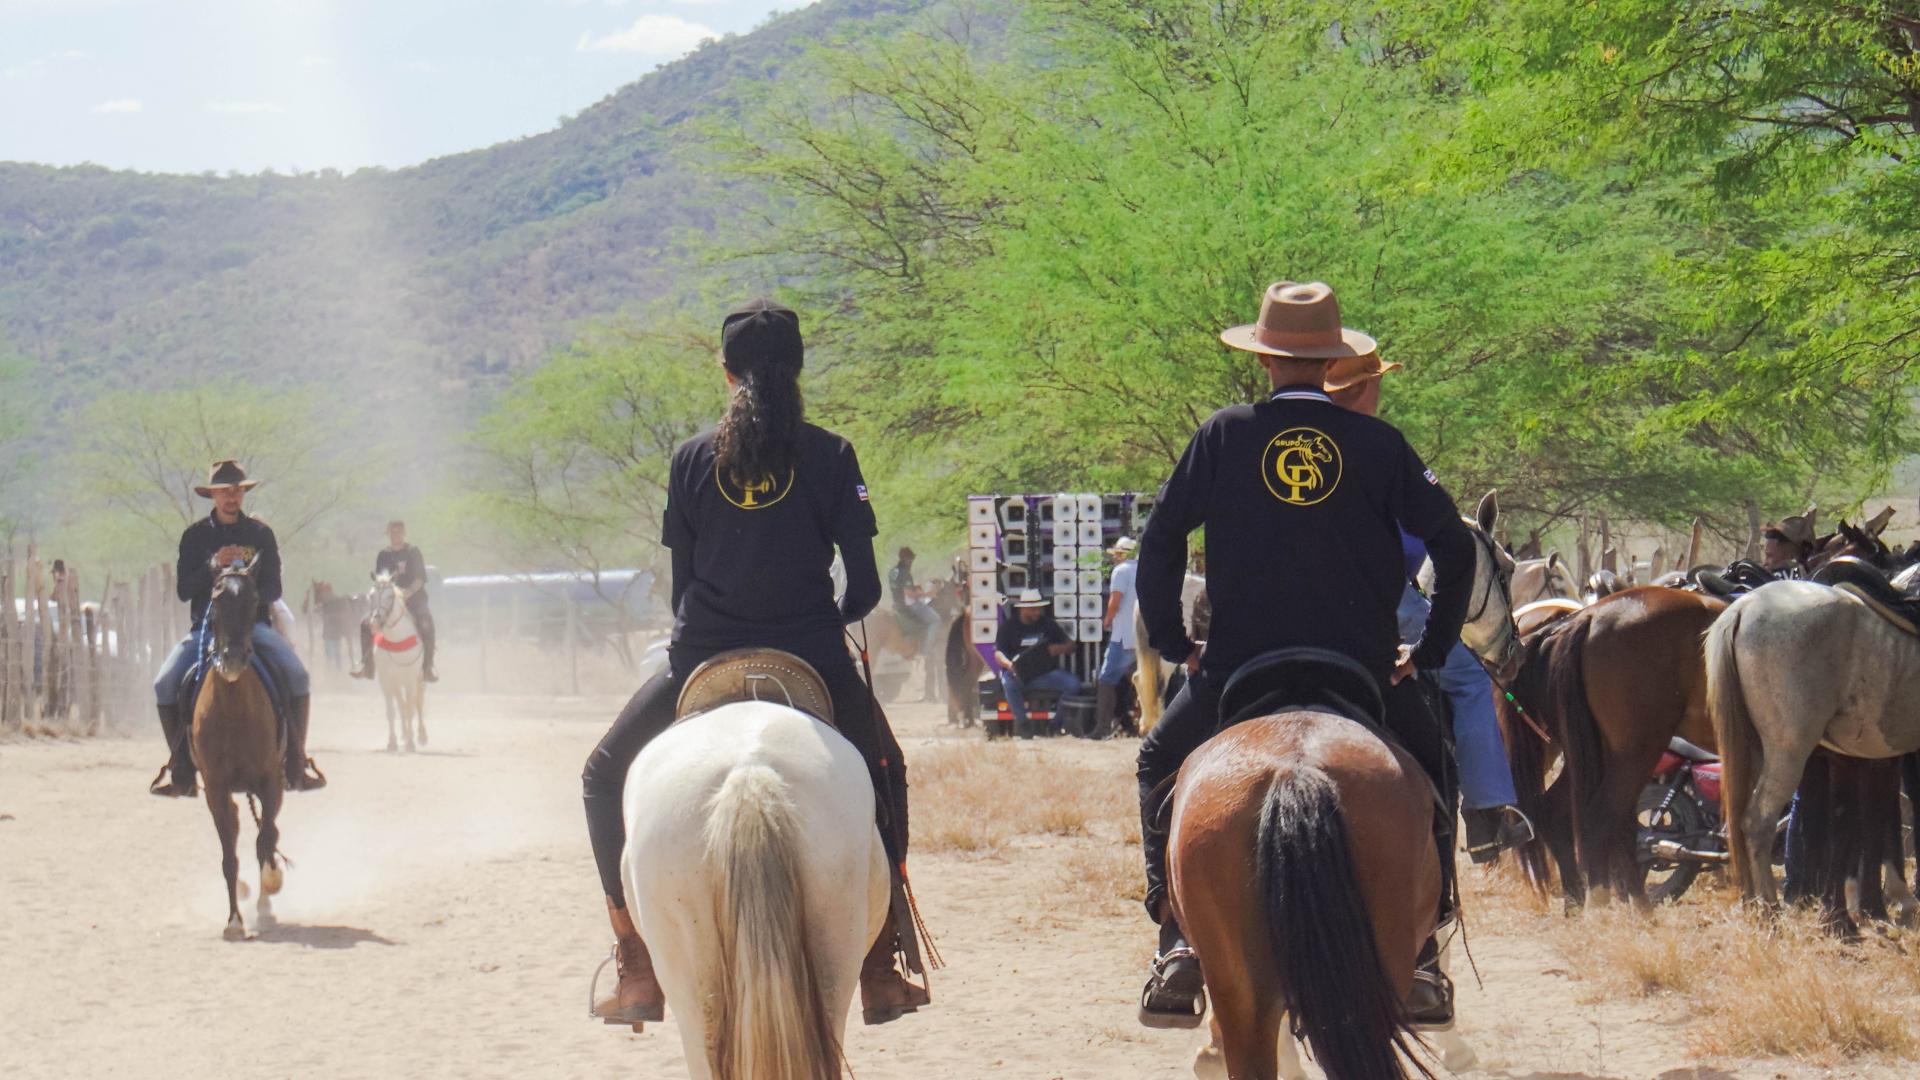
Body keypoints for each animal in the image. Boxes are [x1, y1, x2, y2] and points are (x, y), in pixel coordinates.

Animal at [368, 570, 427, 753]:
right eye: (371, 595)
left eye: (390, 596)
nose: (376, 620)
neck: (396, 641)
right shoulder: (386, 681)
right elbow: (391, 711)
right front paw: (392, 742)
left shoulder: (410, 680)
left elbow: (411, 708)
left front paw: (411, 743)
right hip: (396, 683)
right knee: (402, 706)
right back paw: (403, 735)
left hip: (419, 679)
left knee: (417, 704)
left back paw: (421, 736)